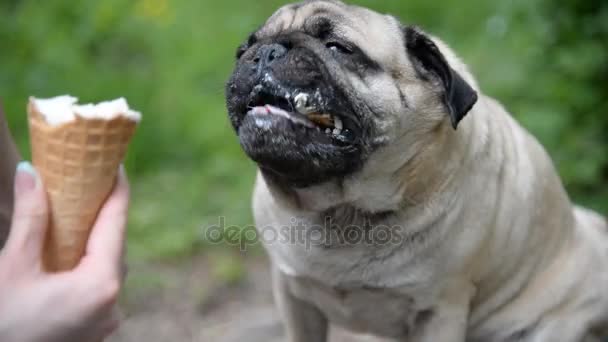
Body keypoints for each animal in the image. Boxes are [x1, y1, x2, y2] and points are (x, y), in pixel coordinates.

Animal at [224, 1, 608, 340]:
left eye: (338, 48)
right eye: (243, 49)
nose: (264, 53)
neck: (341, 212)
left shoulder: (440, 310)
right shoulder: (293, 296)